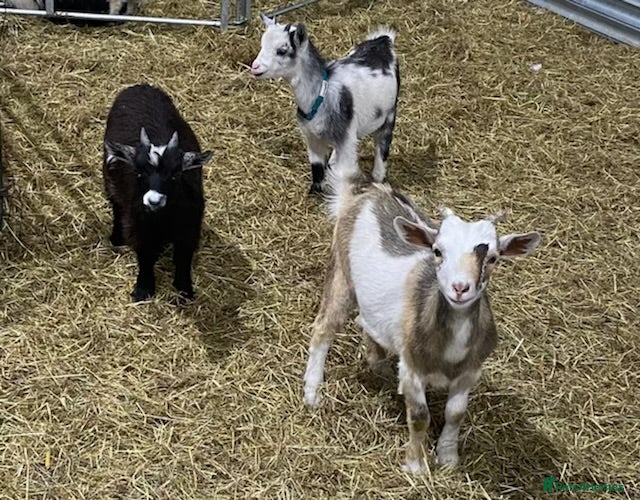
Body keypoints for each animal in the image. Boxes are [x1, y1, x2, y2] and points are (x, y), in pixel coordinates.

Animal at [103, 84, 213, 302]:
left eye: (175, 175)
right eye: (138, 172)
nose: (154, 201)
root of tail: (140, 86)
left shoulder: (189, 228)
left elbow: (183, 257)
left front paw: (184, 290)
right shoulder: (139, 226)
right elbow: (145, 256)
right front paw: (143, 289)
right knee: (116, 206)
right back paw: (116, 237)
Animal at [251, 15, 399, 194]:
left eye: (282, 50)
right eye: (262, 44)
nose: (255, 67)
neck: (322, 93)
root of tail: (383, 41)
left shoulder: (345, 138)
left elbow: (345, 172)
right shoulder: (311, 136)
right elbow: (316, 166)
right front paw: (315, 191)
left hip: (390, 112)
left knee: (382, 146)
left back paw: (378, 176)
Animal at [303, 169, 542, 471]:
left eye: (493, 258)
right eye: (437, 251)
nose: (460, 288)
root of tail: (368, 192)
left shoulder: (470, 371)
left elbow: (456, 413)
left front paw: (448, 458)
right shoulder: (413, 368)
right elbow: (419, 416)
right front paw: (415, 466)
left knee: (367, 325)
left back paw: (381, 369)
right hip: (341, 274)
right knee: (324, 329)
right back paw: (312, 392)